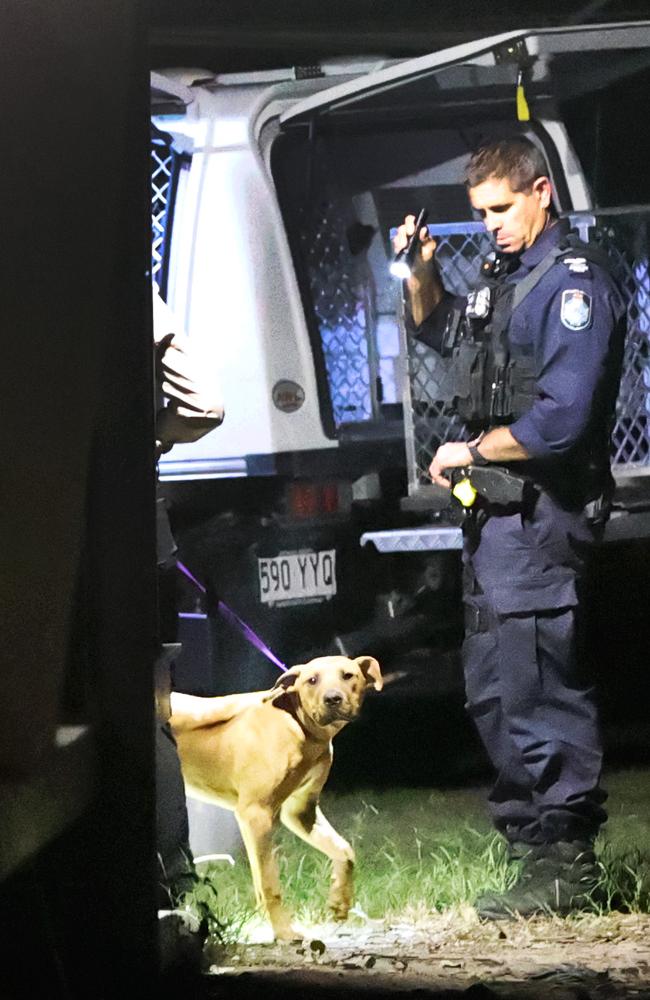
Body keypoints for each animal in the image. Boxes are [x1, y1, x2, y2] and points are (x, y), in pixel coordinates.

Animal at [168, 652, 380, 940]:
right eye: (312, 680)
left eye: (348, 675)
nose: (332, 698)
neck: (299, 725)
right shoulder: (256, 815)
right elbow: (269, 884)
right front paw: (284, 931)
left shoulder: (301, 811)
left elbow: (344, 851)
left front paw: (339, 902)